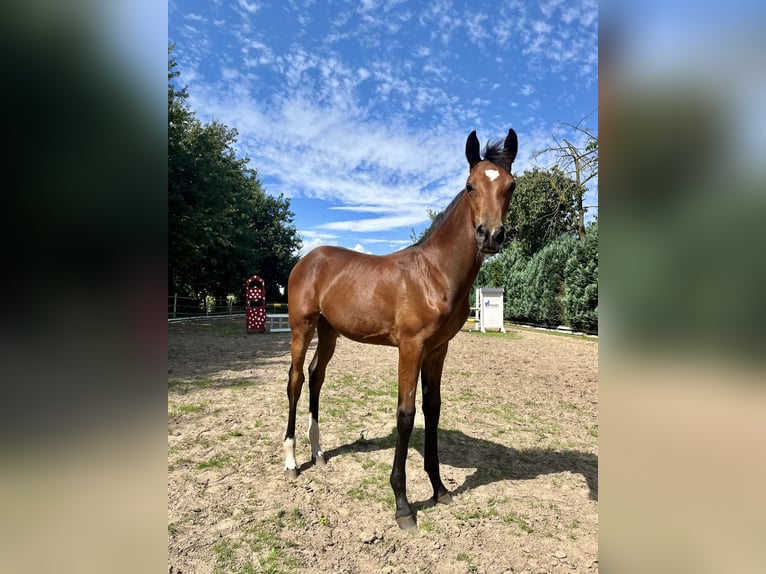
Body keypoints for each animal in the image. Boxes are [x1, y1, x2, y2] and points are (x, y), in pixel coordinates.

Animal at [280, 128, 520, 532]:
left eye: (511, 186)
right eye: (470, 186)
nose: (490, 235)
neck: (434, 273)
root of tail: (308, 258)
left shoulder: (438, 349)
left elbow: (433, 408)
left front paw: (439, 489)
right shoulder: (411, 348)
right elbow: (406, 414)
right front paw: (403, 505)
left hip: (329, 332)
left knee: (316, 376)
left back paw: (319, 452)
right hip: (302, 326)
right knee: (296, 379)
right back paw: (292, 461)